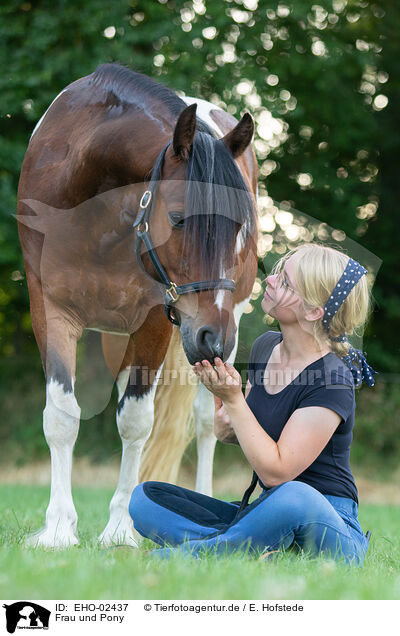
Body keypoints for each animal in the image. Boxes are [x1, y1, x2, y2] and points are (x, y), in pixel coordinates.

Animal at [17, 66, 258, 552]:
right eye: (180, 218)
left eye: (241, 226)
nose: (213, 337)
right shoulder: (49, 309)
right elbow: (62, 415)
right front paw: (58, 529)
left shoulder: (155, 320)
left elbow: (134, 421)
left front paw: (119, 529)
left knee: (206, 421)